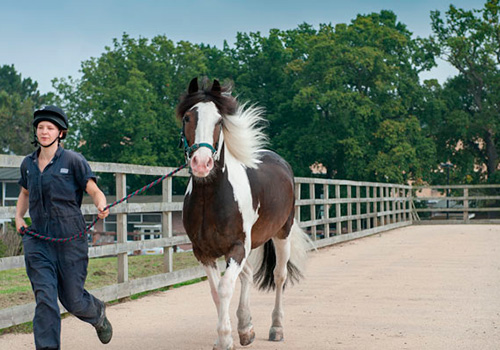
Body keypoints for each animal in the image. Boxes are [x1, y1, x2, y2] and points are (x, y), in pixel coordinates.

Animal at [178, 78, 310, 348]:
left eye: (219, 121)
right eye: (187, 117)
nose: (201, 164)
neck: (211, 199)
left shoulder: (237, 247)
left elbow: (225, 287)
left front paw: (225, 339)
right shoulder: (203, 252)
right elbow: (216, 290)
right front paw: (228, 335)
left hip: (282, 234)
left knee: (279, 276)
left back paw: (276, 328)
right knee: (247, 275)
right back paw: (246, 327)